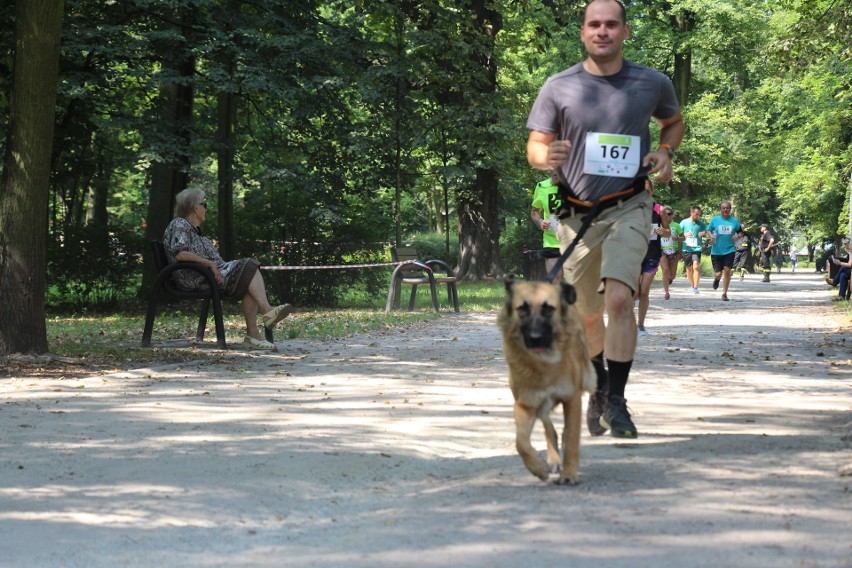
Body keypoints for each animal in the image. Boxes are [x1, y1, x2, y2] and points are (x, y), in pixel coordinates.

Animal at [496, 276, 596, 484]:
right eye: (522, 309)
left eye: (548, 309)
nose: (535, 338)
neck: (544, 364)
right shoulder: (525, 404)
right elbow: (521, 442)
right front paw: (537, 468)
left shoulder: (572, 400)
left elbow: (572, 436)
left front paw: (569, 473)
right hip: (541, 407)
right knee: (550, 429)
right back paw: (553, 459)